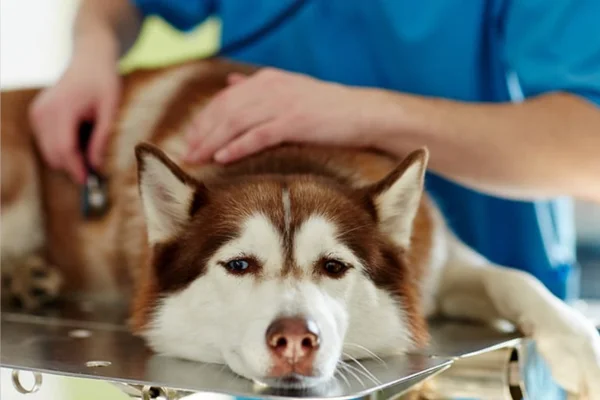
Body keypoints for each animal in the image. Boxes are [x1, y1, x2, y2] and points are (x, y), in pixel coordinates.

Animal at [1, 58, 600, 394]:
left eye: (334, 267)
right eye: (239, 264)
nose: (295, 339)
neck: (287, 154)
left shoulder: (438, 261)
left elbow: (515, 278)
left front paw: (581, 347)